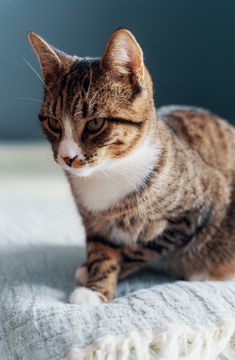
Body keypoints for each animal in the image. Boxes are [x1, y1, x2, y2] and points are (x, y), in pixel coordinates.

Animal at [28, 27, 235, 304]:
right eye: (53, 123)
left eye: (95, 124)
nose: (67, 157)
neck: (108, 171)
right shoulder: (94, 222)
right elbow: (100, 250)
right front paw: (96, 282)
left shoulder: (197, 211)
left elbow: (139, 250)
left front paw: (96, 282)